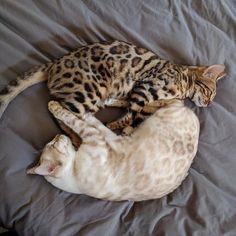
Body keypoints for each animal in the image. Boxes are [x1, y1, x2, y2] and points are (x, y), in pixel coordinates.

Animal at [26, 100, 199, 202]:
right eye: (53, 144)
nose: (58, 135)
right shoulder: (95, 136)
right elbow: (79, 120)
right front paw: (57, 107)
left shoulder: (96, 137)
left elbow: (81, 119)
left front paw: (57, 106)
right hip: (160, 116)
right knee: (174, 101)